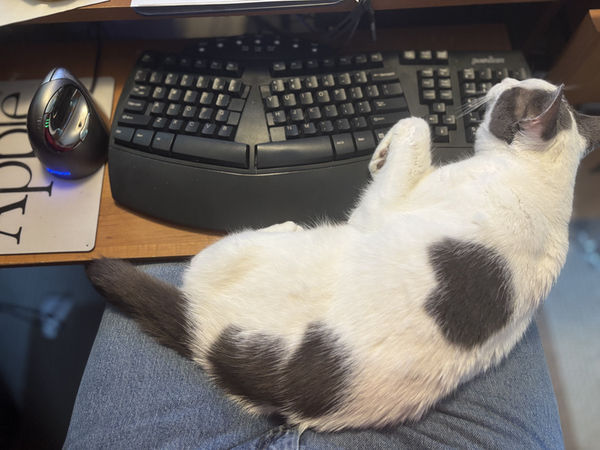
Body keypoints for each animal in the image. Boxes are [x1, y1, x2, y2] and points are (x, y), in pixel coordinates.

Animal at [85, 78, 600, 432]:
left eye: (509, 91)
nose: (494, 82)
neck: (544, 181)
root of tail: (207, 335)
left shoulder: (382, 209)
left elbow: (417, 123)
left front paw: (382, 151)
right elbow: (415, 127)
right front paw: (380, 152)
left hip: (260, 253)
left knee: (197, 265)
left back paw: (282, 227)